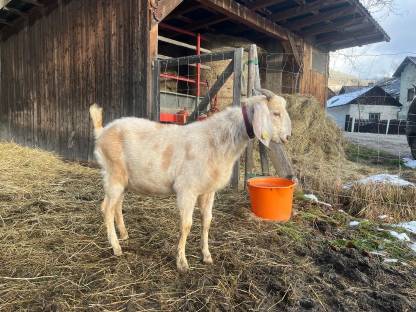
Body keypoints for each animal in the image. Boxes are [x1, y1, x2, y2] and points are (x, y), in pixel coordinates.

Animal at [90, 89, 292, 272]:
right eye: (275, 113)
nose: (288, 137)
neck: (217, 141)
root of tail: (102, 132)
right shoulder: (187, 190)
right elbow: (186, 225)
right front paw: (182, 262)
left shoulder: (208, 191)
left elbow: (207, 221)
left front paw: (207, 256)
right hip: (113, 174)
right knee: (106, 208)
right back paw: (116, 247)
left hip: (123, 179)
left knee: (116, 206)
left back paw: (123, 235)